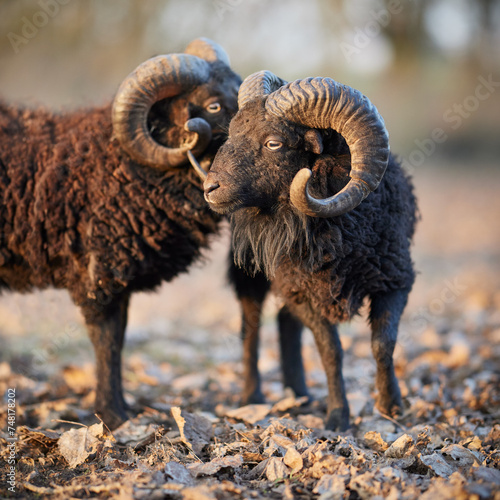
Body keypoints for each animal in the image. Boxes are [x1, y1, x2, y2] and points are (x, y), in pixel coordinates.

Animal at [0, 38, 242, 430]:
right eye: (213, 105)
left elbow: (120, 337)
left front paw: (122, 409)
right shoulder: (98, 276)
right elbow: (108, 342)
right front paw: (112, 416)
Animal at [203, 70, 418, 430]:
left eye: (273, 142)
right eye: (231, 133)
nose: (210, 188)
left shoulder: (395, 280)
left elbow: (382, 344)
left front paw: (392, 406)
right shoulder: (301, 293)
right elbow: (330, 351)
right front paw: (337, 416)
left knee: (283, 323)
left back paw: (299, 392)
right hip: (255, 276)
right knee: (251, 328)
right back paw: (252, 396)